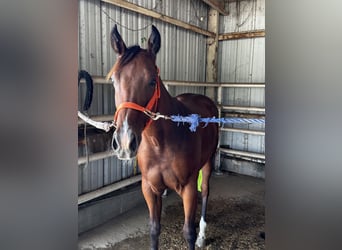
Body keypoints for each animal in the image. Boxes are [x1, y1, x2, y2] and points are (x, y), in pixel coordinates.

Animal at [107, 23, 219, 250]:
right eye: (114, 80)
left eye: (152, 81)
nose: (124, 142)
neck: (160, 144)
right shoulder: (149, 189)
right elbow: (154, 229)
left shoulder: (188, 188)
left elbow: (188, 232)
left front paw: (196, 236)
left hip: (208, 163)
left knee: (205, 191)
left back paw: (203, 235)